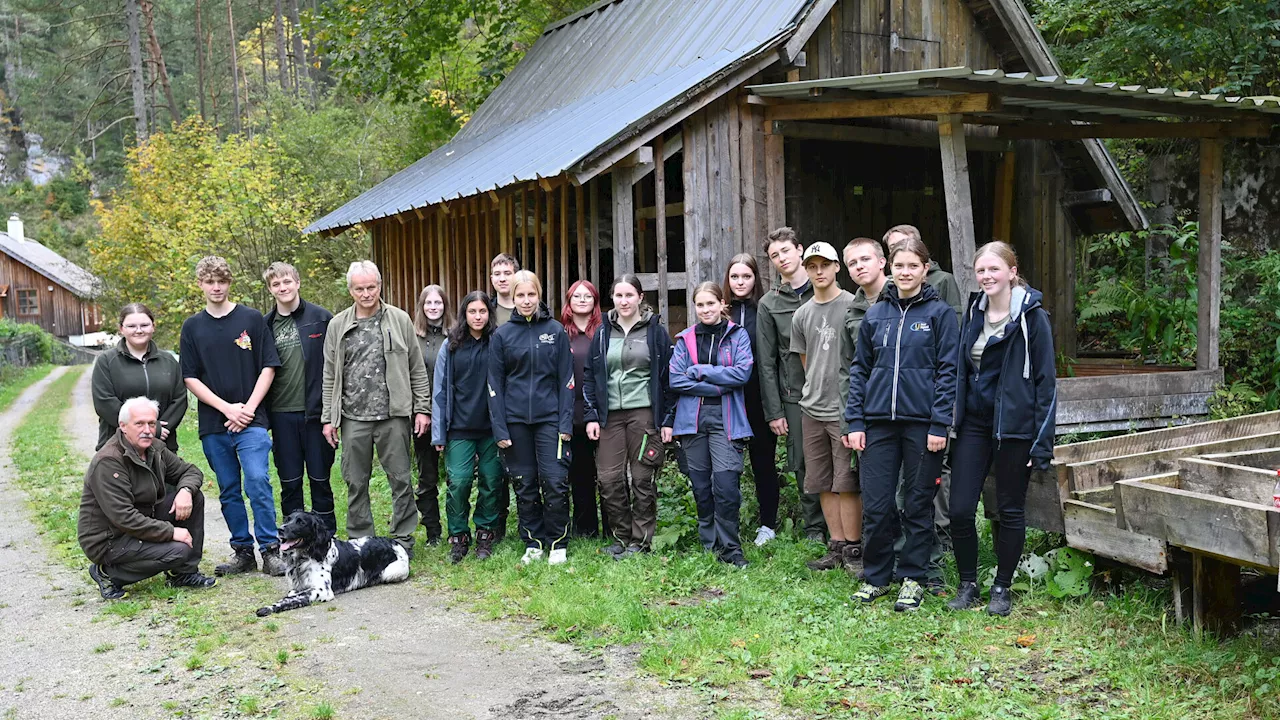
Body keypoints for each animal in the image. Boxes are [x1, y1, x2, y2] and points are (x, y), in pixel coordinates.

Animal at [261, 507, 414, 614]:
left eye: (301, 522)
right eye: (287, 520)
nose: (280, 529)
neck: (305, 557)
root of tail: (397, 543)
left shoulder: (323, 590)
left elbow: (290, 599)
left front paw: (267, 608)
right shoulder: (296, 588)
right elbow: (290, 597)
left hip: (391, 572)